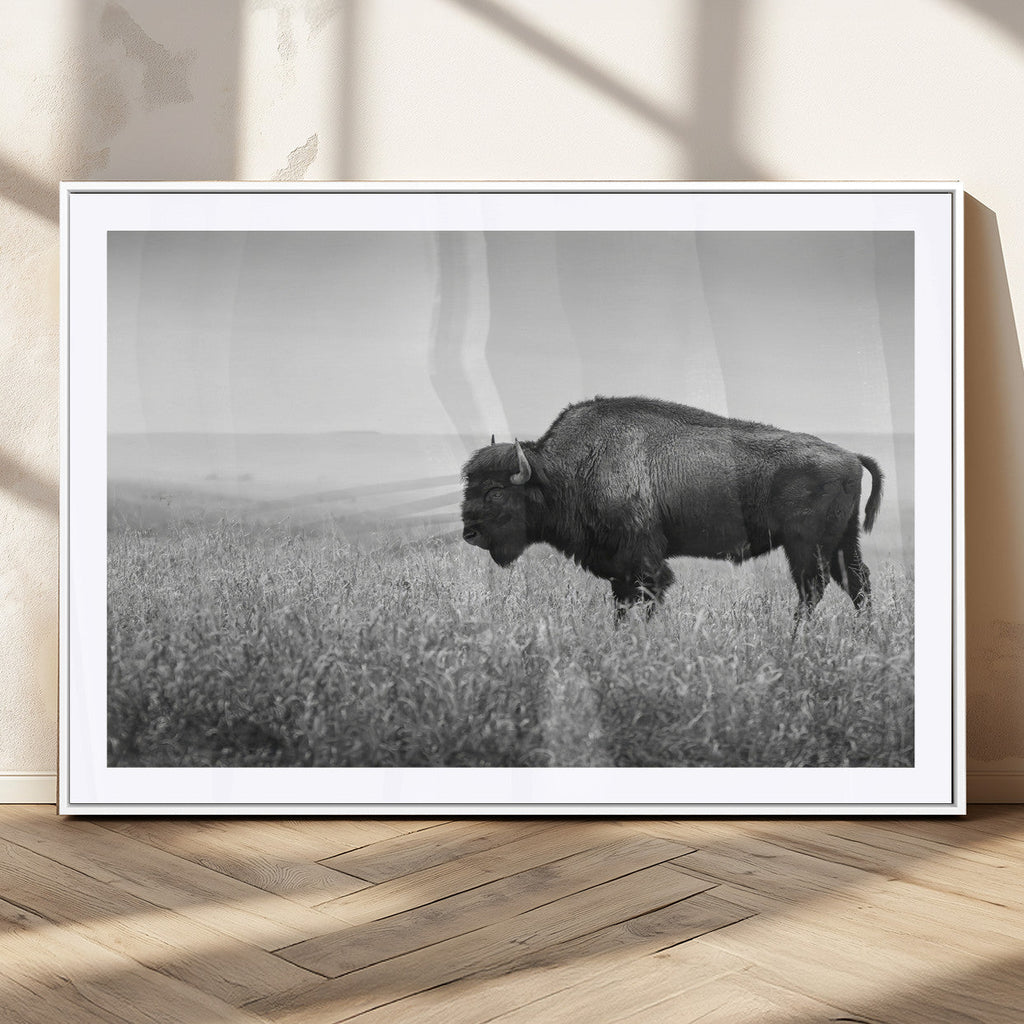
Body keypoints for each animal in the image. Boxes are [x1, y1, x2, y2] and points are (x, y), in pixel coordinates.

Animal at [460, 396, 883, 618]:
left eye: (495, 491)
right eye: (470, 484)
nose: (469, 532)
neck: (566, 470)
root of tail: (850, 456)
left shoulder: (644, 562)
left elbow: (647, 598)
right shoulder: (619, 569)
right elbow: (622, 604)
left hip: (806, 546)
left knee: (813, 589)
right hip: (842, 542)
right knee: (857, 583)